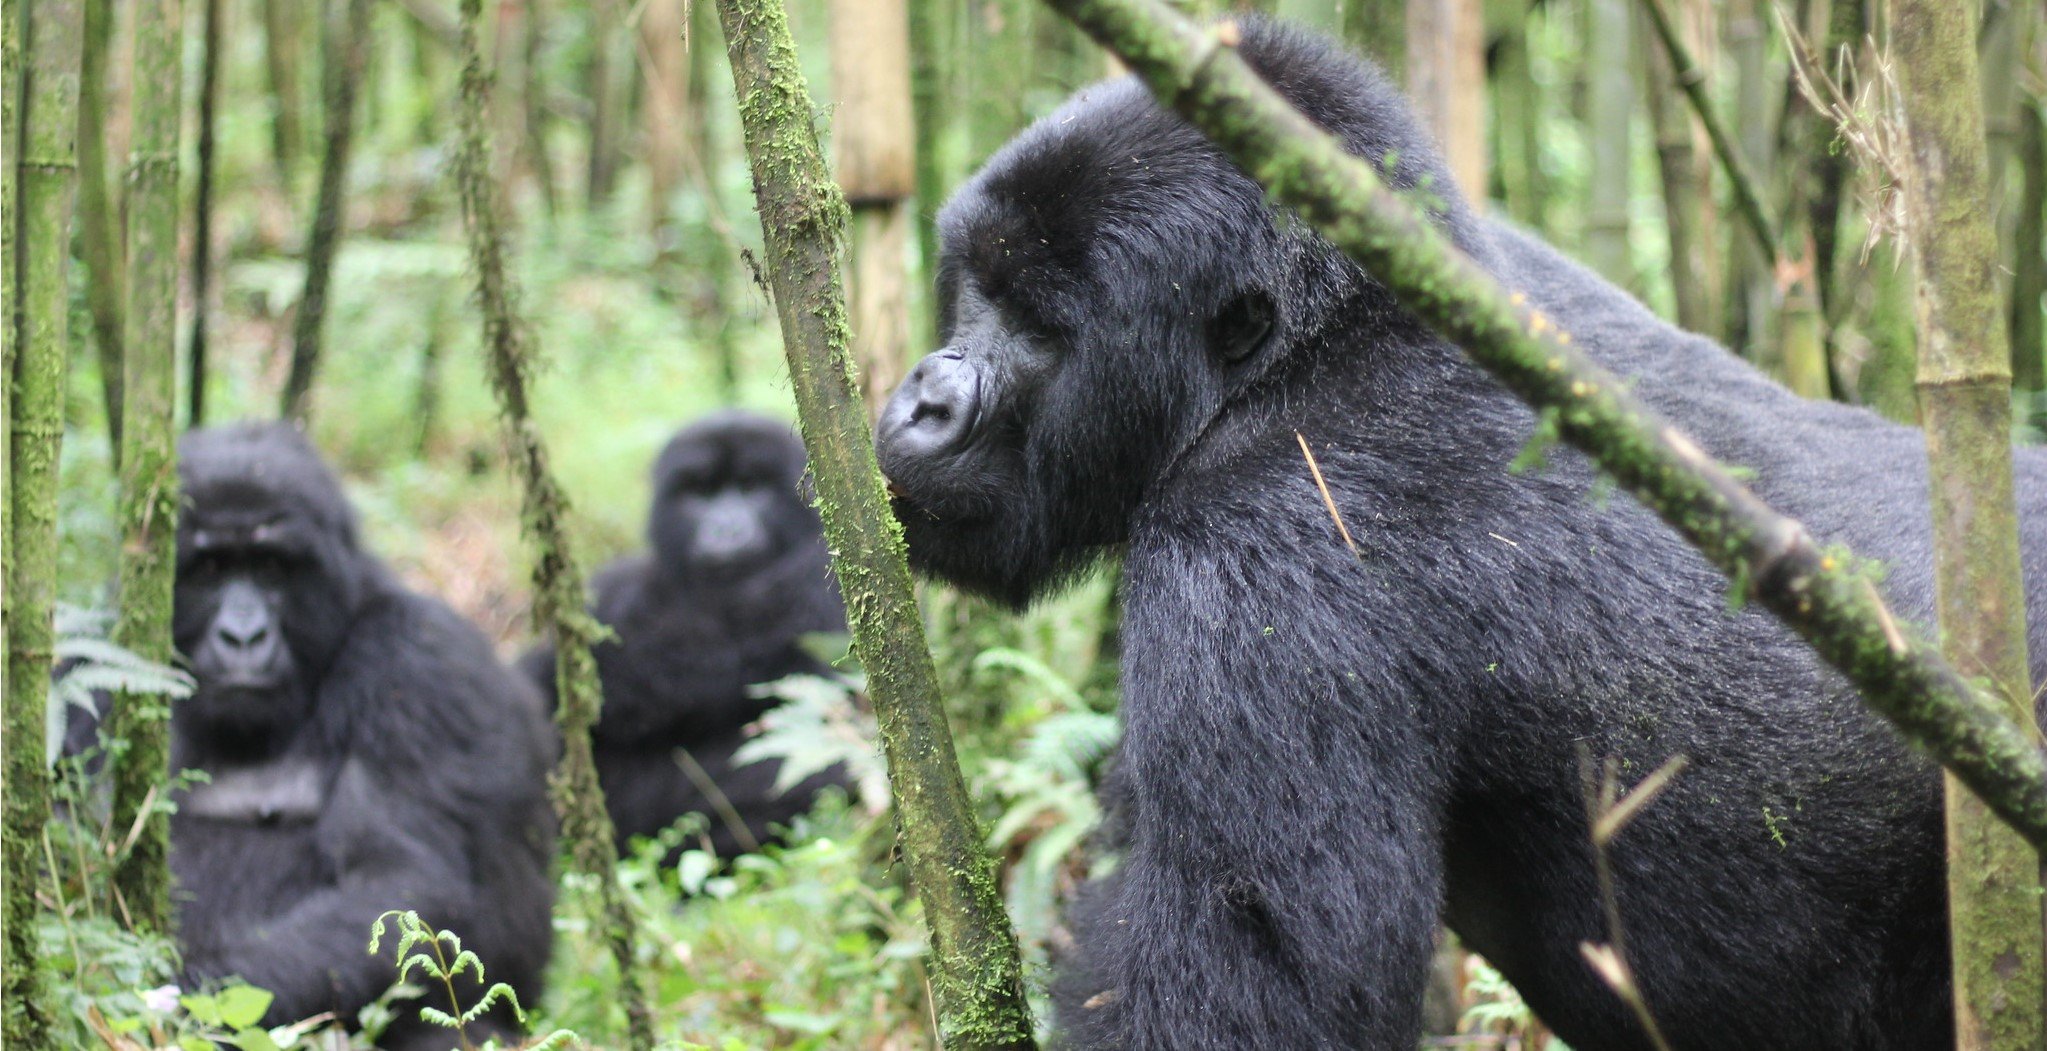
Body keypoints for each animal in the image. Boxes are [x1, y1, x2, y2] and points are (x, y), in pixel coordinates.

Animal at [89, 424, 560, 1048]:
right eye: (210, 569)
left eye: (271, 568)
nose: (243, 636)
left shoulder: (417, 662)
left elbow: (401, 878)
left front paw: (187, 998)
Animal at [872, 18, 2038, 1048]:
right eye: (975, 288)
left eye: (1039, 331)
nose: (924, 396)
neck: (1316, 344)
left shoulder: (1256, 561)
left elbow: (1250, 997)